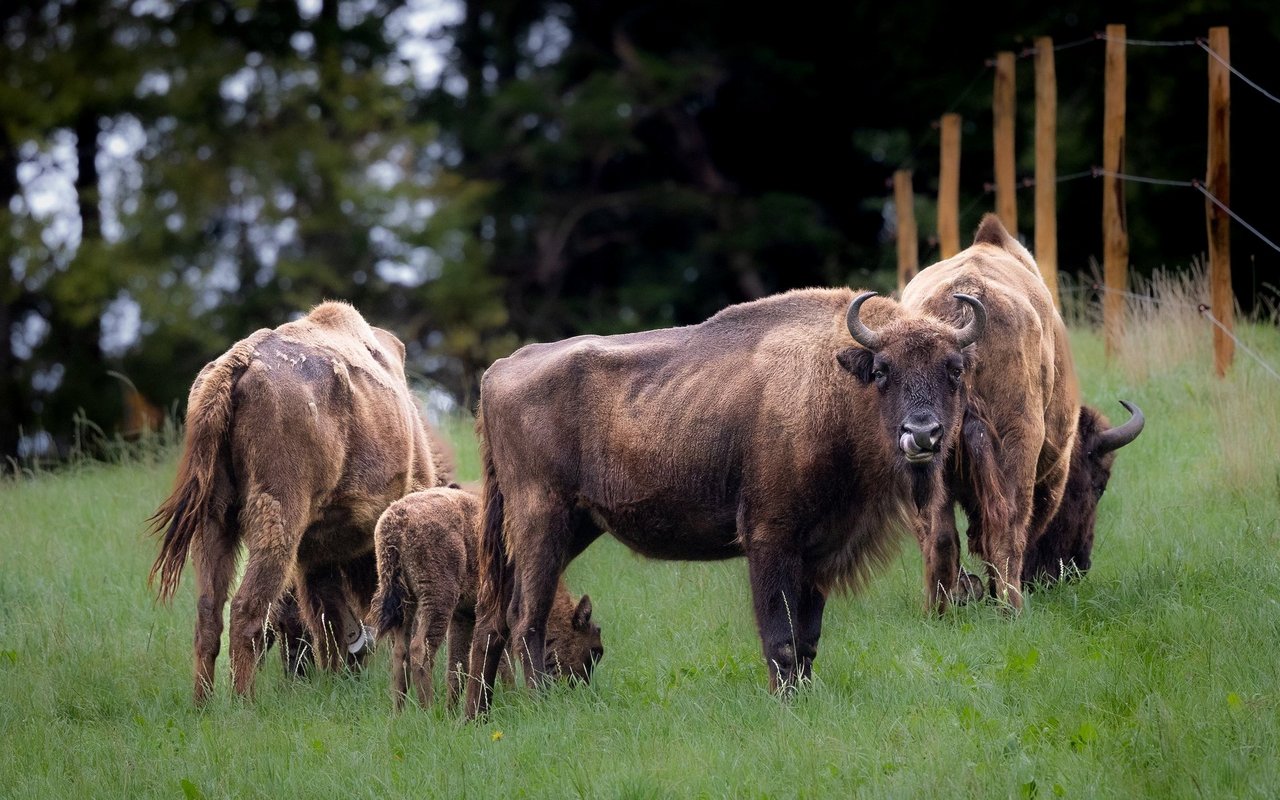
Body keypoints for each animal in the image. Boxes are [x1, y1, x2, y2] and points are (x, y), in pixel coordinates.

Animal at [146, 302, 440, 701]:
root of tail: (236, 364)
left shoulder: (317, 557)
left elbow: (328, 622)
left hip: (213, 521)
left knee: (209, 612)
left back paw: (202, 704)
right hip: (278, 518)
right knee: (246, 608)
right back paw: (243, 703)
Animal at [371, 483, 599, 706]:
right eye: (595, 650)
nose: (580, 686)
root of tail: (395, 521)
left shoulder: (463, 615)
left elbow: (458, 668)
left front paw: (452, 710)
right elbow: (503, 662)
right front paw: (511, 697)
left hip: (407, 602)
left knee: (400, 652)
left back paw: (399, 712)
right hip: (437, 599)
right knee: (420, 649)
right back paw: (428, 708)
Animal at [468, 284, 988, 716]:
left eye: (954, 369)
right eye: (882, 371)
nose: (922, 434)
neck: (832, 384)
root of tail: (496, 372)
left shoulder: (817, 552)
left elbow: (808, 639)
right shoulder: (771, 541)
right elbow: (781, 638)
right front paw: (784, 705)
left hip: (566, 527)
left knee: (492, 617)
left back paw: (476, 715)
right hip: (543, 520)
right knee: (525, 617)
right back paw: (539, 705)